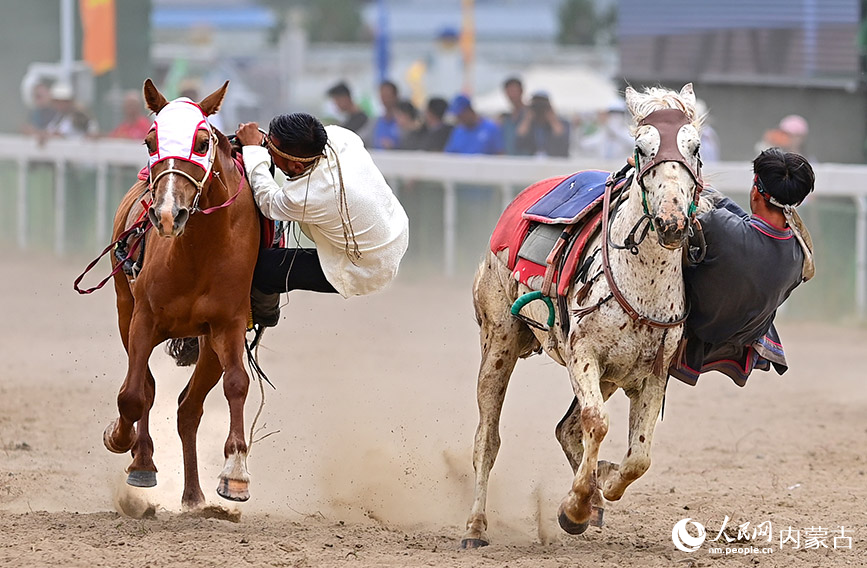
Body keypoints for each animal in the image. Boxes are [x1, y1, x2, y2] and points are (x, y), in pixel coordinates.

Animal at [102, 79, 260, 509]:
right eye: (150, 140)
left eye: (202, 142)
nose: (168, 214)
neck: (197, 252)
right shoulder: (143, 319)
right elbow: (133, 395)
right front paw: (122, 441)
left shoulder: (228, 324)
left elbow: (237, 384)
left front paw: (235, 474)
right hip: (124, 310)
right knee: (147, 389)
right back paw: (142, 460)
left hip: (207, 344)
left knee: (189, 409)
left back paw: (193, 495)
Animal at [461, 84, 705, 547]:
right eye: (641, 148)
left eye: (695, 148)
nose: (671, 223)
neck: (640, 284)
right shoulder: (583, 354)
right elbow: (597, 422)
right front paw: (574, 507)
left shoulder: (654, 373)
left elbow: (638, 456)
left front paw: (598, 487)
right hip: (498, 343)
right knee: (487, 438)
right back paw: (476, 526)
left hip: (608, 377)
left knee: (567, 429)